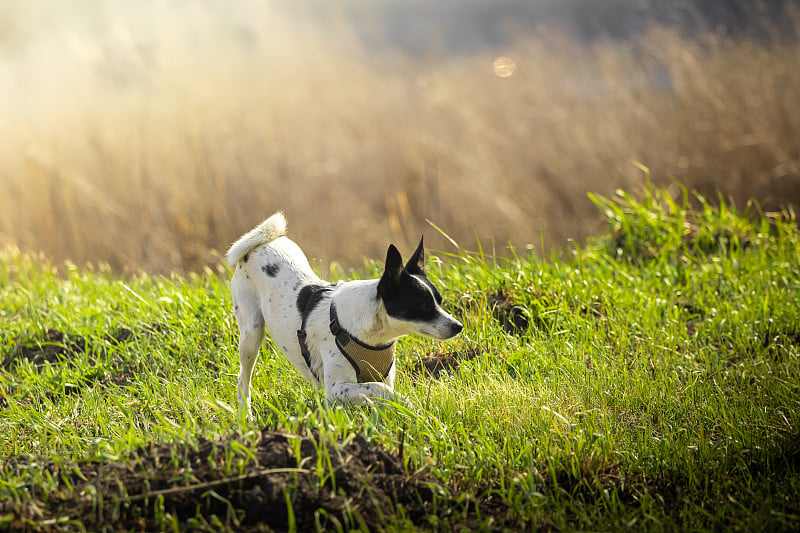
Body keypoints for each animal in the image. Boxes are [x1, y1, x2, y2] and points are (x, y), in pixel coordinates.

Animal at [225, 212, 462, 412]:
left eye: (439, 301)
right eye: (422, 305)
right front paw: (406, 402)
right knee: (243, 380)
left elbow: (379, 394)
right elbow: (379, 388)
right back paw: (246, 416)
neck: (373, 334)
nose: (458, 326)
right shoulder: (336, 388)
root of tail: (264, 243)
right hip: (251, 335)